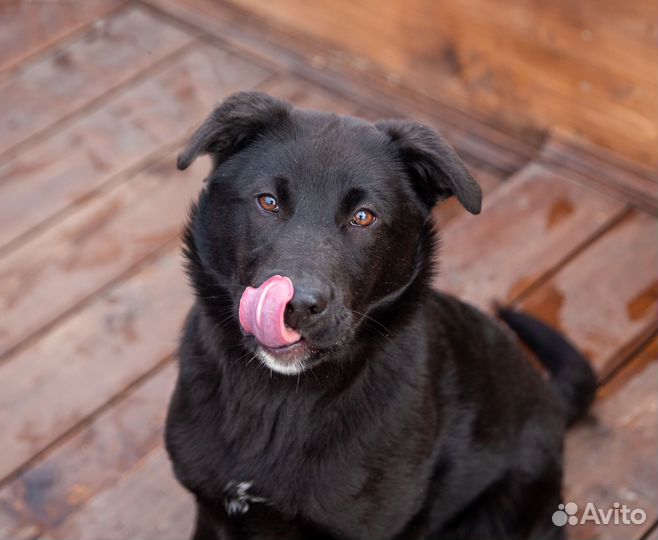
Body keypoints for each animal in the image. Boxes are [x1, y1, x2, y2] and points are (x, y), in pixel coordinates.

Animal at [165, 90, 596, 536]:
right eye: (268, 202)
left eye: (363, 217)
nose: (297, 305)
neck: (277, 397)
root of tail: (550, 400)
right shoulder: (213, 513)